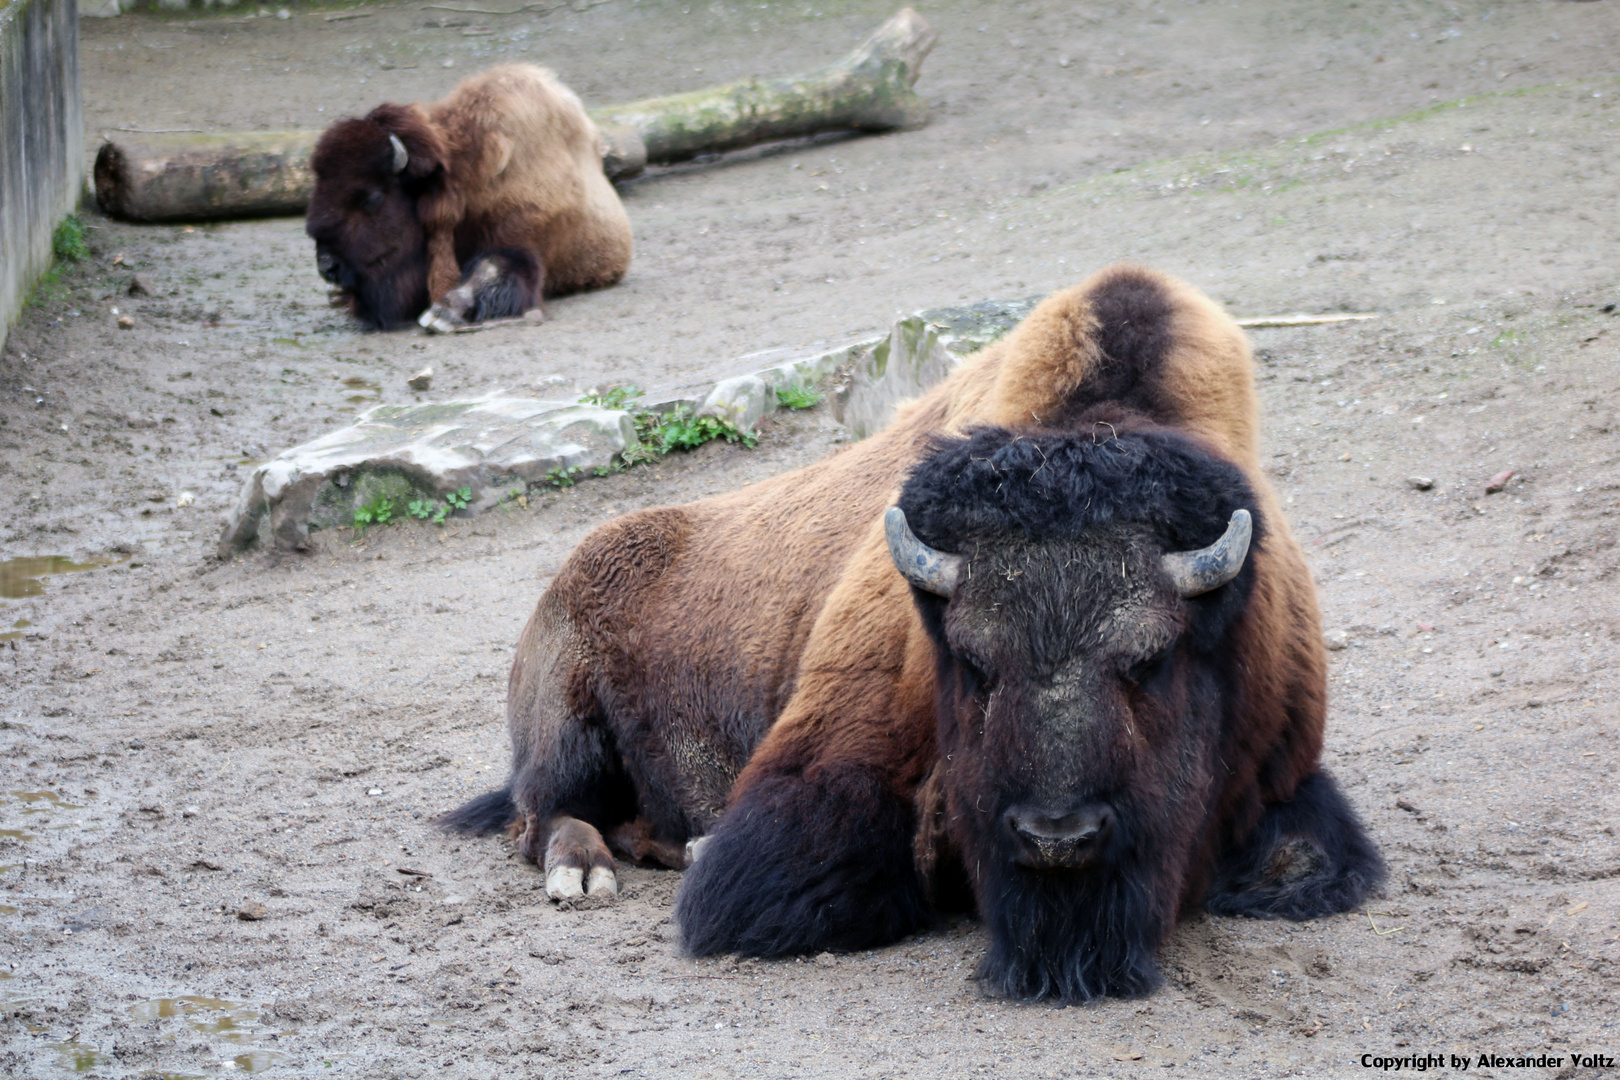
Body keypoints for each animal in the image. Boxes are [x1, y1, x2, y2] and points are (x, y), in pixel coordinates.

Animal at [304, 64, 631, 333]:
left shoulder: (523, 236)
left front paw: (445, 314)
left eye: (372, 197)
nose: (327, 268)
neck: (463, 177)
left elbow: (494, 267)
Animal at [443, 263, 1380, 1003]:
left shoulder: (1286, 771)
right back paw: (585, 872)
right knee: (542, 815)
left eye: (1150, 660)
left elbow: (1303, 862)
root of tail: (566, 578)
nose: (1057, 838)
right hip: (565, 731)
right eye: (970, 660)